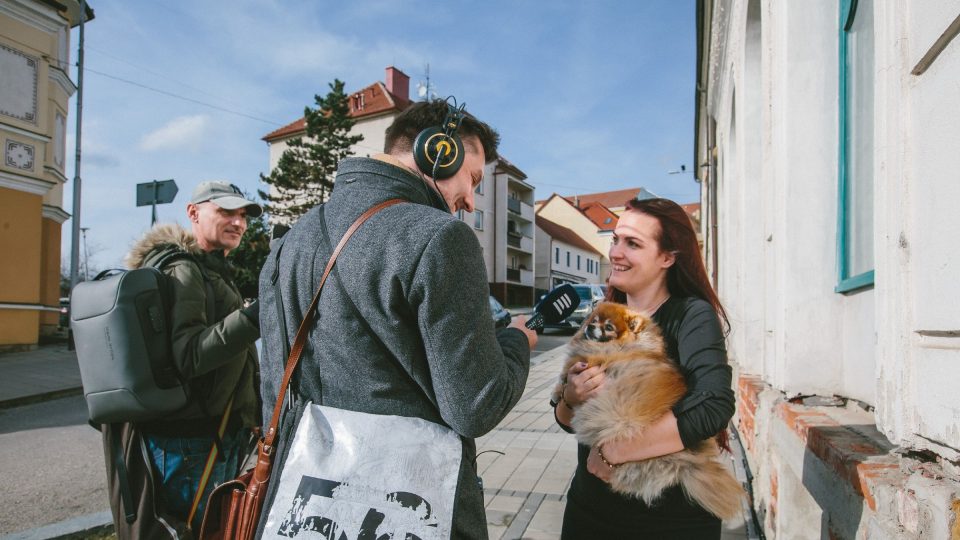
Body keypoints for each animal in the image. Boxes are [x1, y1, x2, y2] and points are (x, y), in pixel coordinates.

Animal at [552, 302, 748, 520]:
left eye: (608, 327)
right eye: (593, 320)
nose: (590, 327)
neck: (624, 346)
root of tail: (686, 458)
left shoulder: (594, 360)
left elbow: (570, 367)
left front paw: (559, 390)